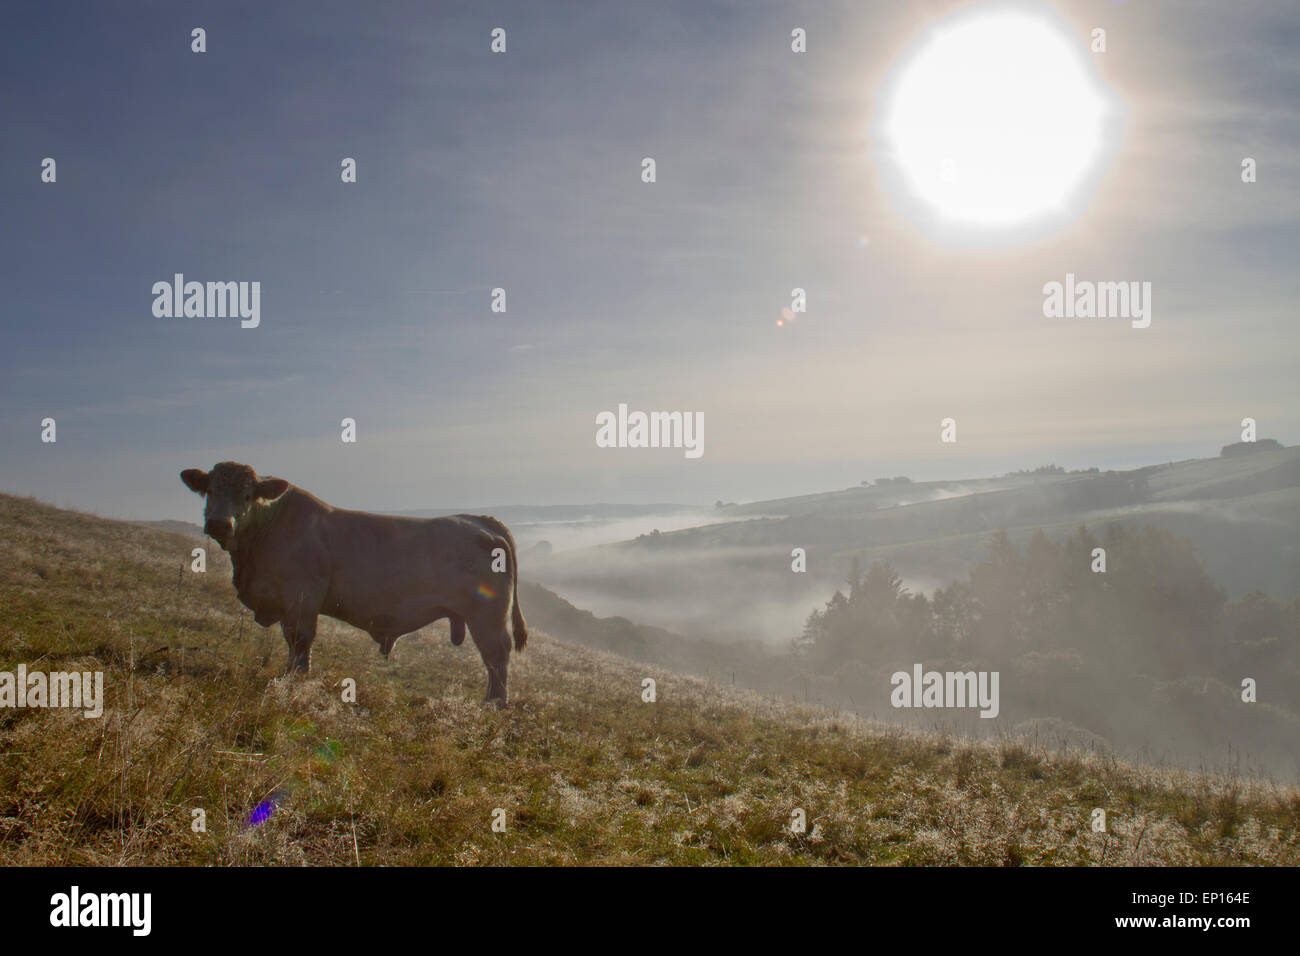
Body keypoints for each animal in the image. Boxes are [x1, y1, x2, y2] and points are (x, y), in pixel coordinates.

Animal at [180, 463, 525, 702]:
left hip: (487, 616)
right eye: (210, 490)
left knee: (497, 655)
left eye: (247, 495)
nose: (219, 524)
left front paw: (297, 677)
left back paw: (494, 702)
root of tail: (481, 521)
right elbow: (291, 641)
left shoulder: (302, 597)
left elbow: (301, 639)